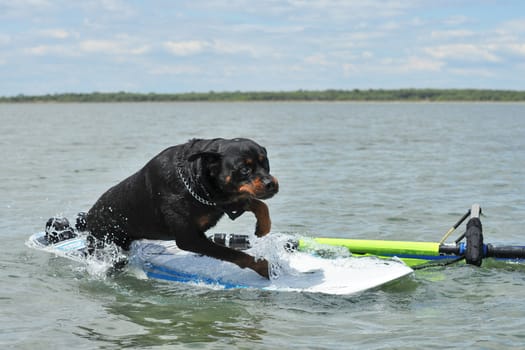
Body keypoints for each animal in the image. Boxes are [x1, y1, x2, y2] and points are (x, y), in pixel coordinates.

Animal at [85, 138, 278, 278]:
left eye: (266, 163)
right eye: (244, 169)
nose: (271, 183)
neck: (195, 180)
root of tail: (88, 217)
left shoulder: (222, 200)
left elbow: (258, 203)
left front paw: (263, 227)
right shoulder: (189, 238)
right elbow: (233, 253)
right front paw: (264, 266)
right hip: (104, 243)